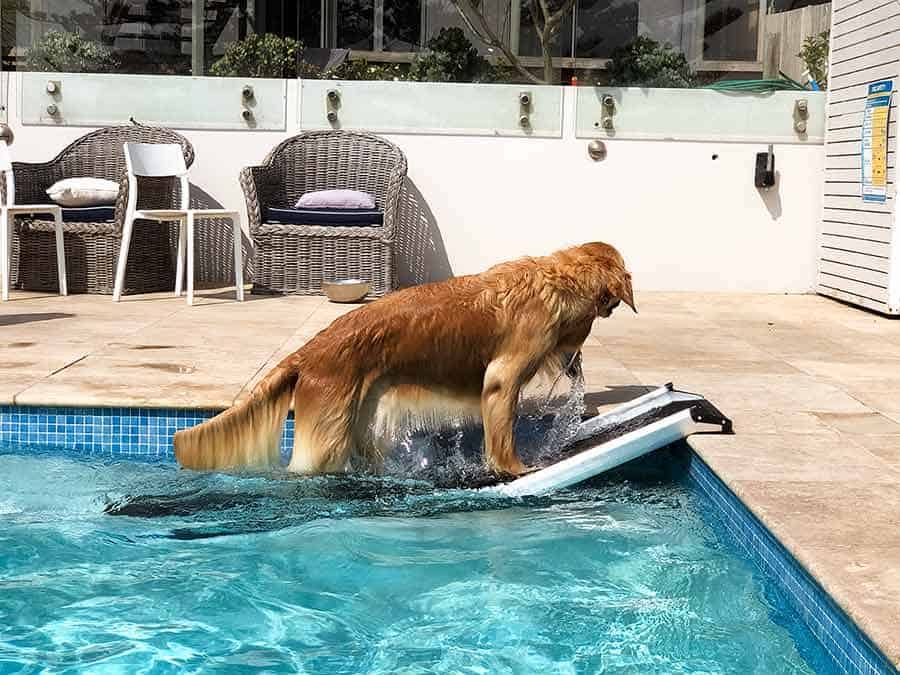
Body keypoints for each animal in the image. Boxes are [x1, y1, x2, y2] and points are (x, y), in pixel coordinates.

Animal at [174, 243, 632, 476]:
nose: (577, 366)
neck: (553, 282)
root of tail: (307, 352)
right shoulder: (502, 382)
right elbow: (503, 436)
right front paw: (516, 468)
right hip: (326, 436)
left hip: (356, 419)